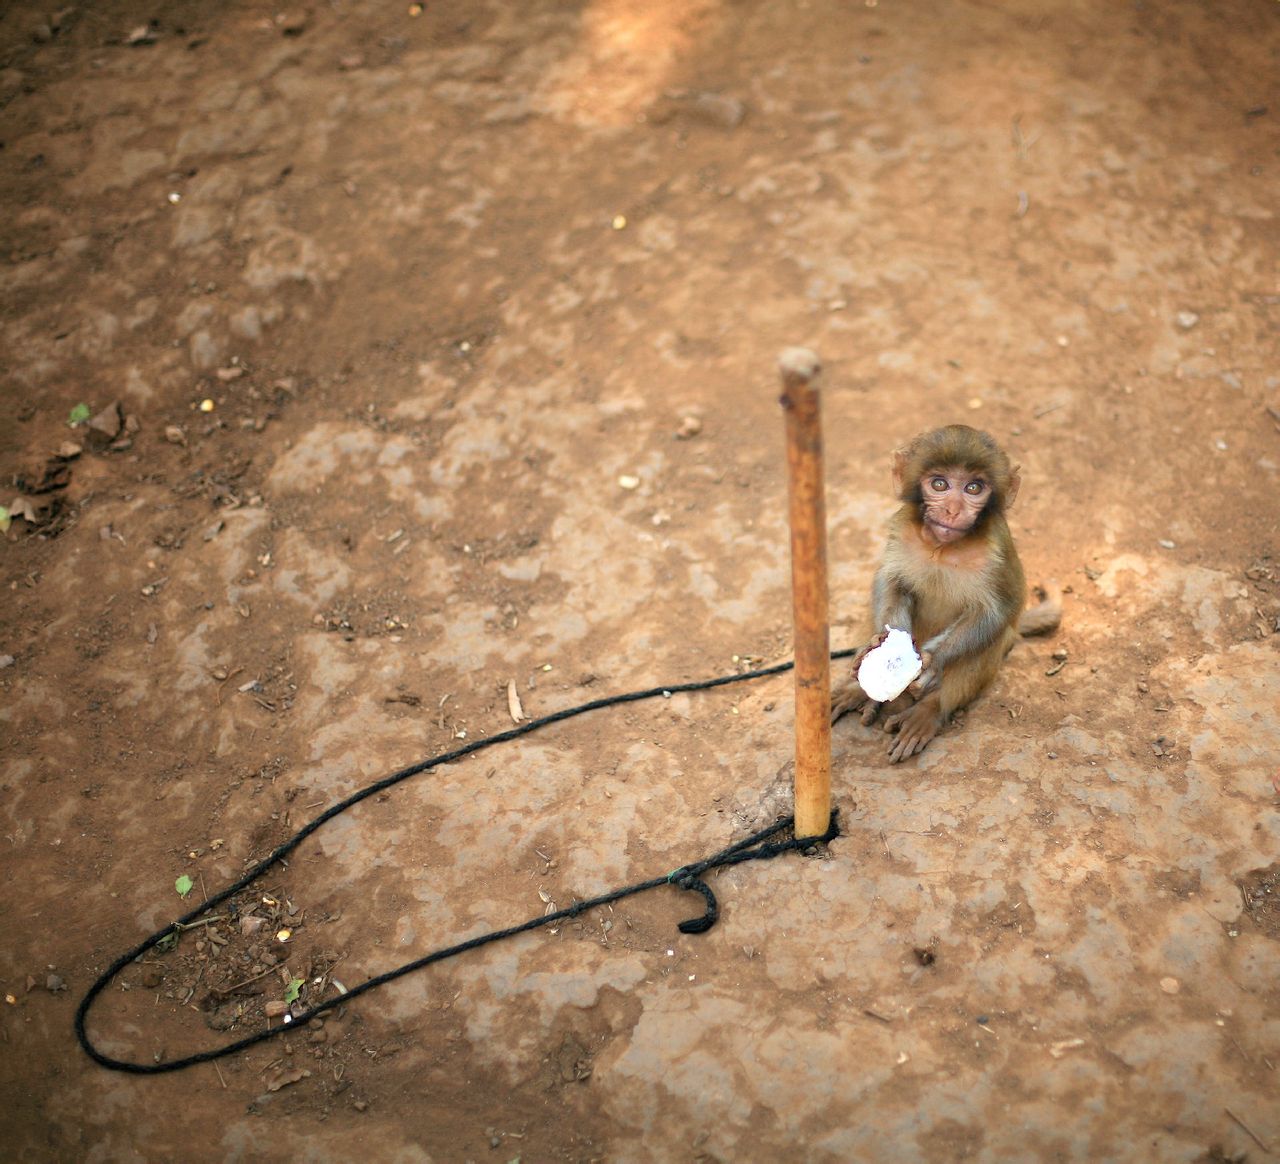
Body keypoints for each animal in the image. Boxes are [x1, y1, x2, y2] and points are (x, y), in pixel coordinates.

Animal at [829, 427, 1059, 763]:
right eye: (939, 484)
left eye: (974, 488)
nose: (953, 510)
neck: (942, 548)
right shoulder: (902, 527)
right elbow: (891, 581)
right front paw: (879, 646)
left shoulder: (997, 547)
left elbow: (998, 611)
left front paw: (932, 663)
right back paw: (860, 691)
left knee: (993, 639)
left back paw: (929, 710)